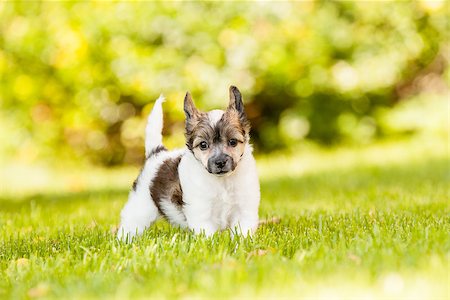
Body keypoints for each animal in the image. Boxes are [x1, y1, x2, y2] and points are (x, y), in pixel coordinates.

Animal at [118, 85, 260, 240]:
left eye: (233, 142)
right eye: (203, 145)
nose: (220, 162)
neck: (222, 182)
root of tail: (157, 152)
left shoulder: (244, 210)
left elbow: (242, 233)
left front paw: (241, 243)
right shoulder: (202, 214)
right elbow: (208, 236)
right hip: (141, 207)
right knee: (131, 224)